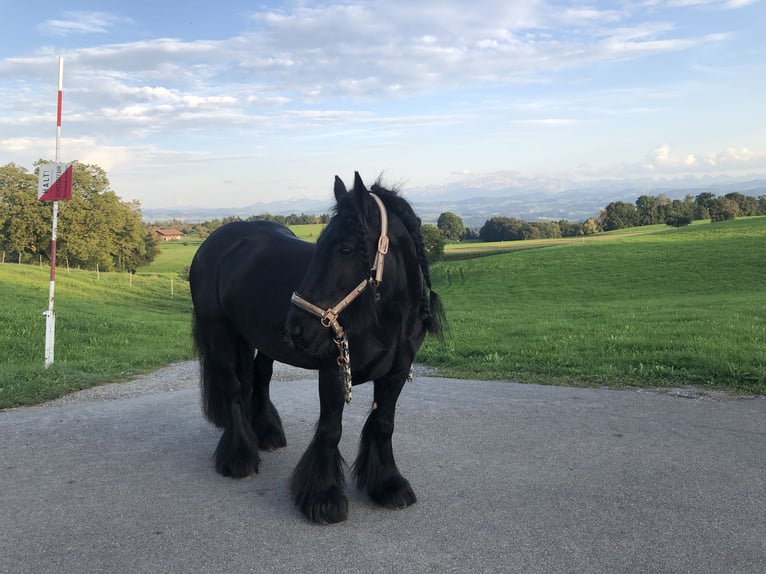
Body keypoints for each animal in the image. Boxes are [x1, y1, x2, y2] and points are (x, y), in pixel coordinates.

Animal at [188, 172, 448, 528]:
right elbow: (329, 430)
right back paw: (240, 457)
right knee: (234, 388)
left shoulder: (395, 374)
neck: (384, 316)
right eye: (319, 247)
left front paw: (387, 485)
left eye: (346, 248)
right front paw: (323, 497)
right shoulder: (334, 371)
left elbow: (383, 424)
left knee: (260, 377)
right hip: (219, 332)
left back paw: (266, 433)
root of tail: (214, 242)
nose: (297, 327)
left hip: (261, 341)